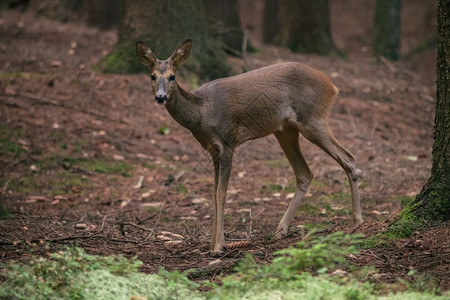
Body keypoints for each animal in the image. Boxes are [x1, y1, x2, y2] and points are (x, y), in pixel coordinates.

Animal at [135, 38, 364, 252]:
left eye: (172, 76)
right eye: (152, 76)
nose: (160, 97)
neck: (201, 113)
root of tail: (332, 85)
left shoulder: (227, 142)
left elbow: (221, 194)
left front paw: (219, 246)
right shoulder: (212, 150)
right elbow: (213, 193)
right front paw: (212, 243)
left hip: (313, 119)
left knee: (349, 158)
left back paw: (357, 220)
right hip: (285, 130)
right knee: (305, 173)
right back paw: (280, 230)